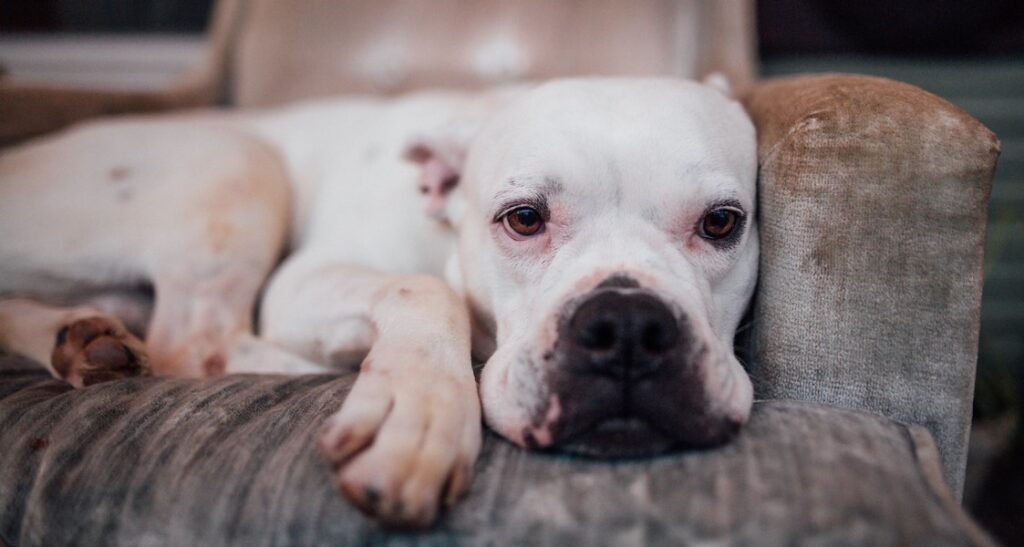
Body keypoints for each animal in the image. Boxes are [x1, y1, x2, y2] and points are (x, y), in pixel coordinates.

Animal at [0, 79, 753, 528]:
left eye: (723, 222)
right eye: (523, 218)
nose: (625, 326)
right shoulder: (302, 282)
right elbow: (425, 287)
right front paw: (418, 408)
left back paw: (80, 339)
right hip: (235, 159)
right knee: (194, 338)